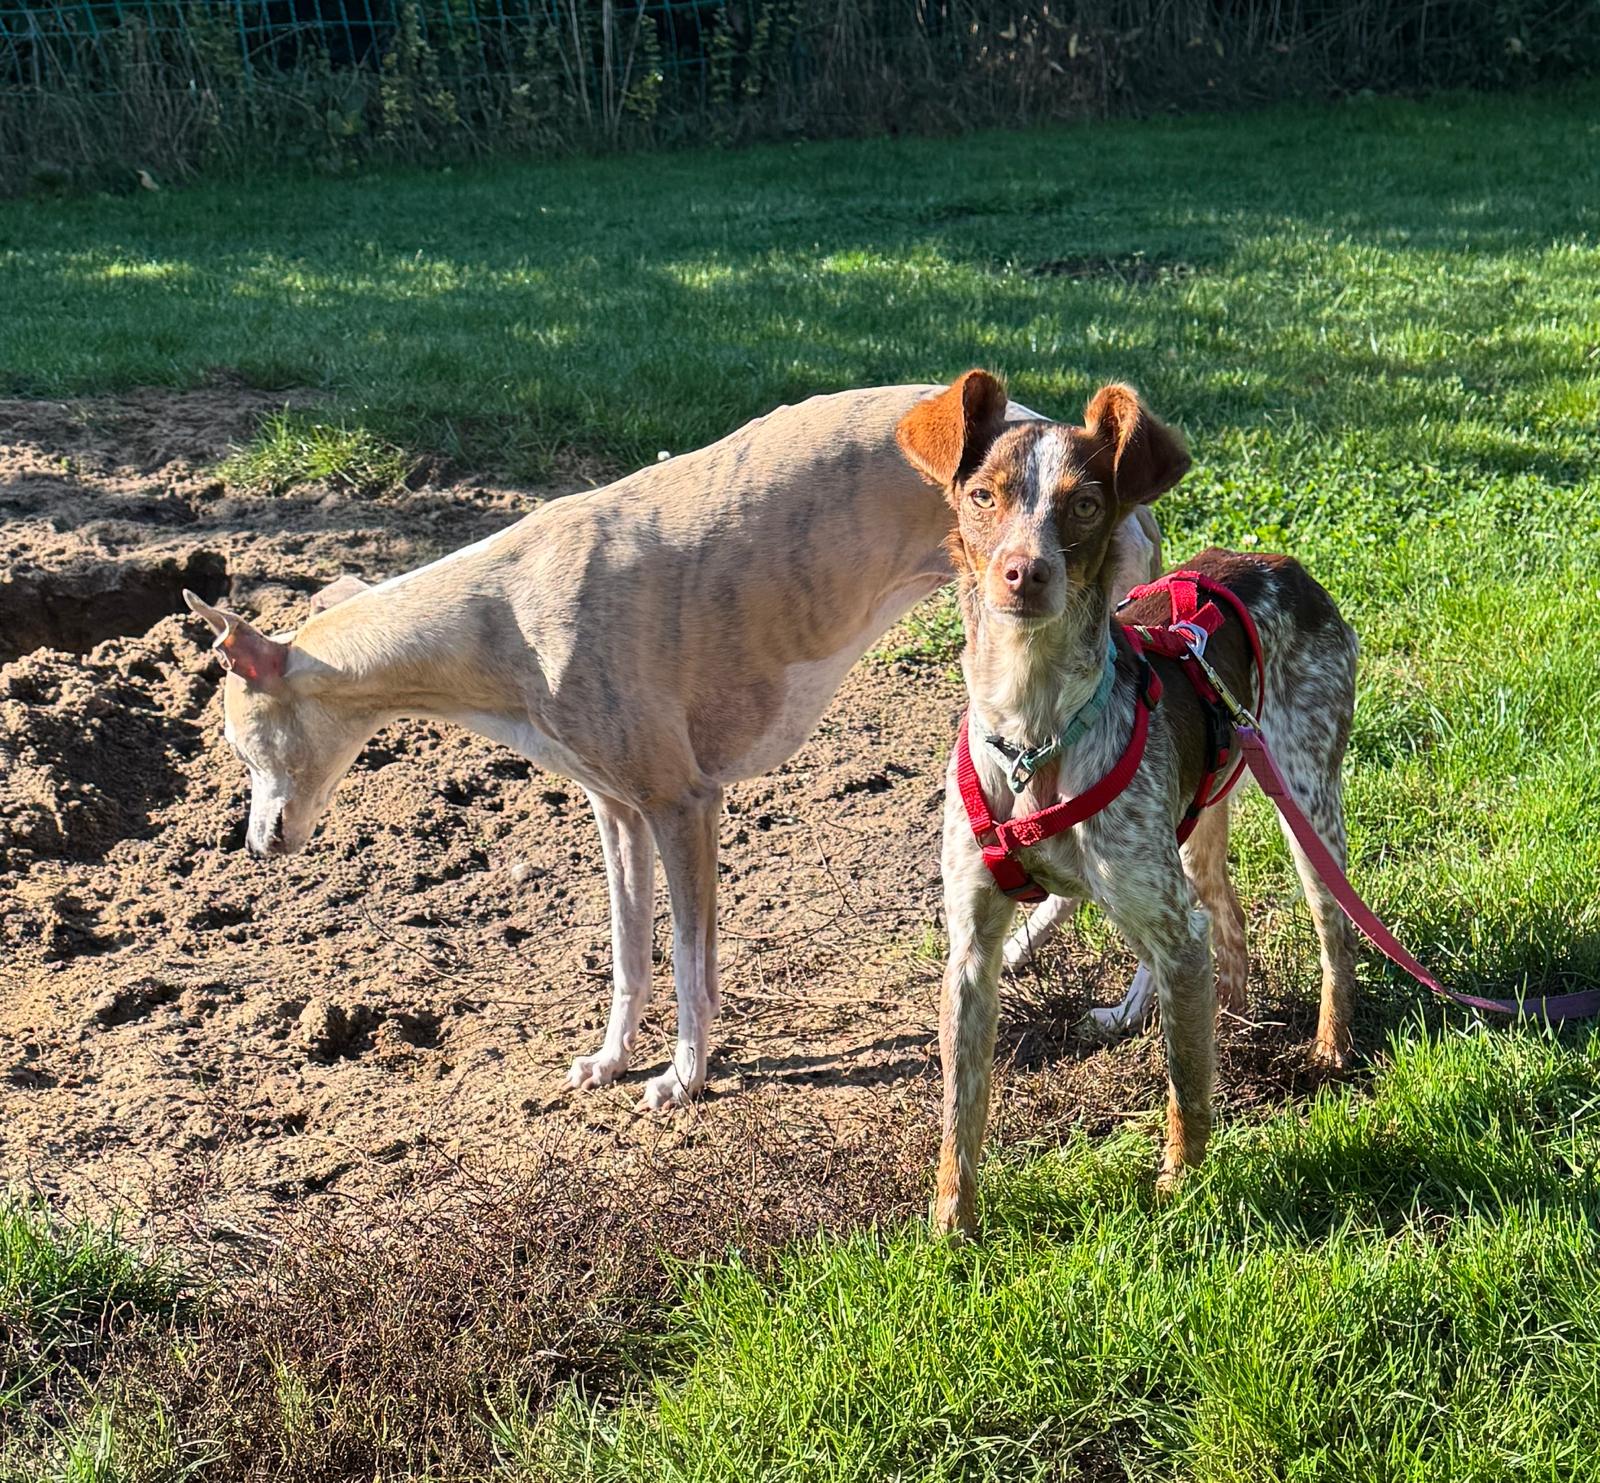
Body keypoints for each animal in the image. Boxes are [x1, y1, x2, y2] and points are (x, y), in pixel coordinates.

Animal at [184, 384, 1164, 1110]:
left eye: (241, 747)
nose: (256, 845)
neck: (501, 613)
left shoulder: (684, 804)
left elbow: (692, 962)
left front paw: (681, 1077)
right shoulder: (617, 810)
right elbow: (629, 956)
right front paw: (610, 1059)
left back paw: (1130, 1004)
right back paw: (1037, 951)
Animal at [896, 370, 1359, 1237]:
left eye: (1084, 504)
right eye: (982, 496)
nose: (1024, 572)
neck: (1034, 729)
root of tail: (1279, 561)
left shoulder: (1170, 922)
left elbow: (1185, 1084)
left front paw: (1180, 1186)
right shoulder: (971, 950)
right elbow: (960, 1113)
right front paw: (953, 1228)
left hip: (1308, 807)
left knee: (1331, 937)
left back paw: (1330, 1049)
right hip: (1190, 836)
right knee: (1223, 924)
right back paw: (1226, 1023)